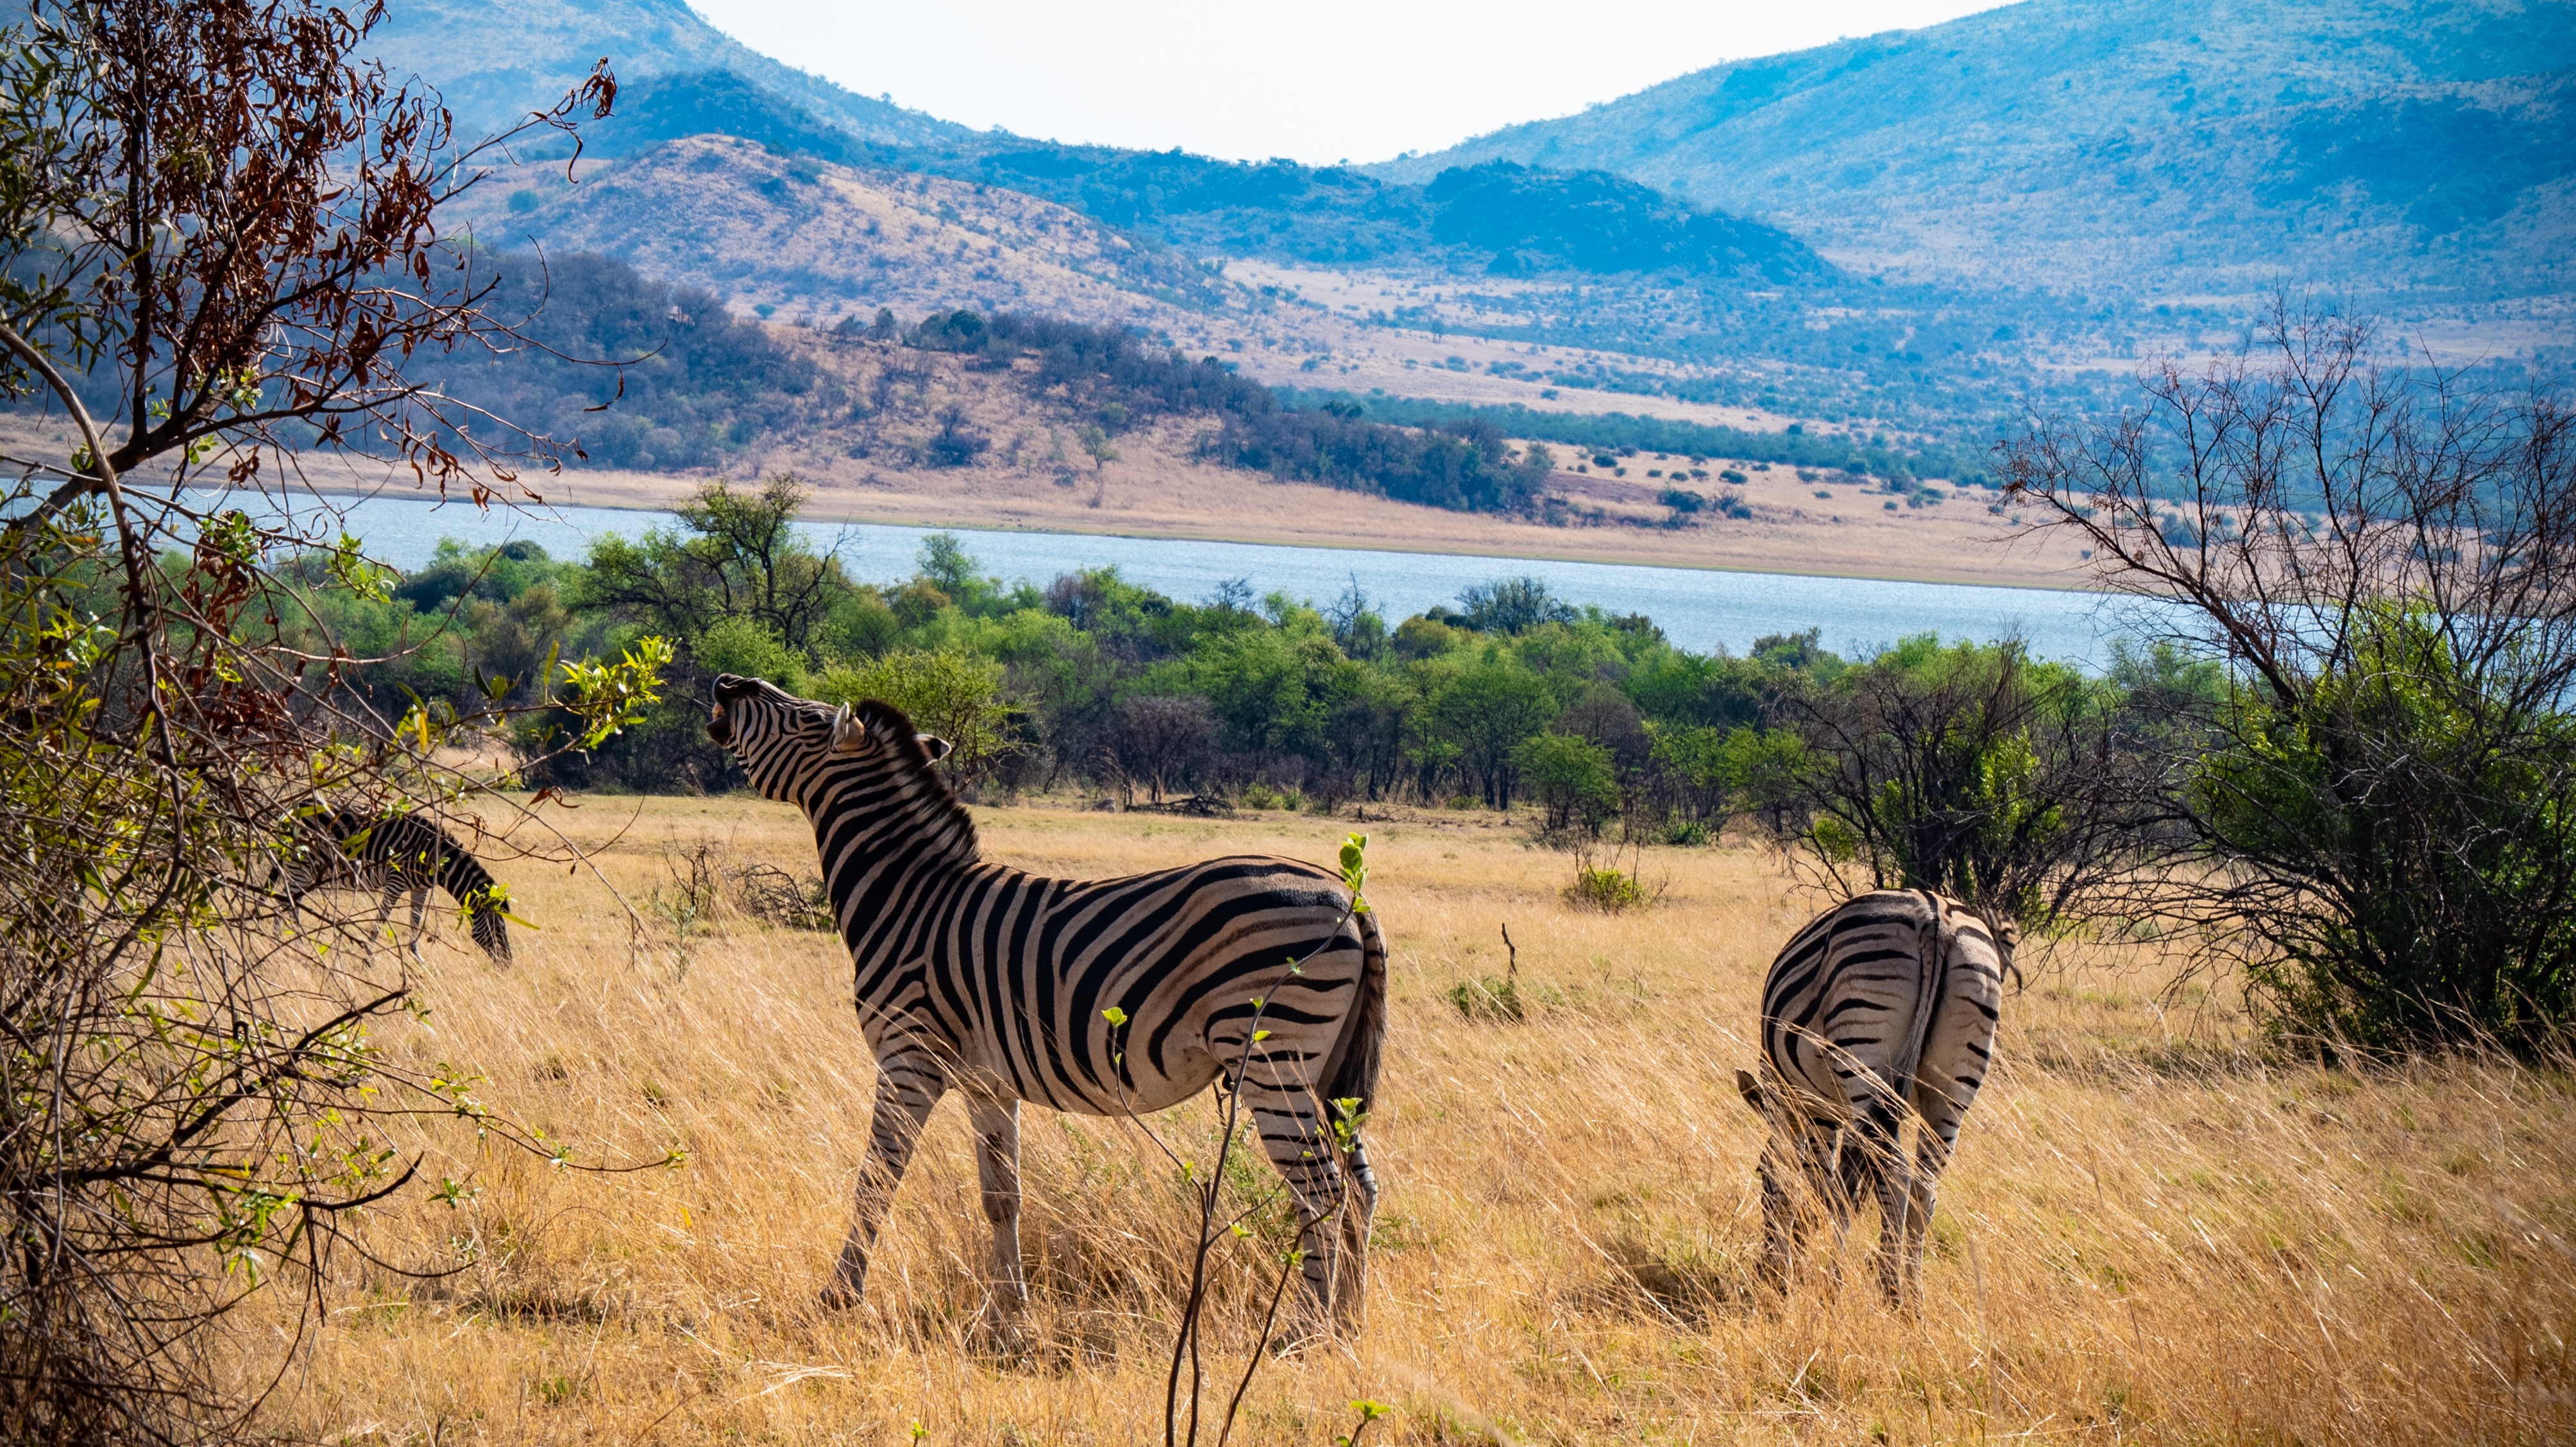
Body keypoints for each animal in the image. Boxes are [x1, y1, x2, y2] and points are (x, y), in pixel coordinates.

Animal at [275, 806, 514, 963]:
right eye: (498, 929)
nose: (508, 964)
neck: (434, 858)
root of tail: (291, 811)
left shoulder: (420, 889)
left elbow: (415, 921)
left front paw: (417, 959)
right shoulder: (395, 882)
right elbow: (382, 918)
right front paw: (369, 956)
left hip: (307, 870)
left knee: (291, 904)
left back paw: (293, 943)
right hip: (303, 865)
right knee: (284, 903)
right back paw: (287, 944)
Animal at [705, 673, 1387, 1344]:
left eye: (806, 719)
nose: (726, 683)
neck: (907, 896)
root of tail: (1348, 898)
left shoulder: (910, 1055)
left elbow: (876, 1179)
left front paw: (839, 1297)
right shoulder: (987, 1081)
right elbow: (1001, 1197)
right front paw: (1010, 1322)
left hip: (1274, 1057)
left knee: (1321, 1189)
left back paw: (1304, 1332)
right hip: (1327, 1073)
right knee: (1359, 1187)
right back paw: (1350, 1324)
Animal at [1733, 888, 2010, 1305]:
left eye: (1761, 1175)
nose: (1764, 1274)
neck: (1787, 1108)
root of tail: (1935, 917)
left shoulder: (1819, 1109)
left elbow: (1824, 1184)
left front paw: (1815, 1276)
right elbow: (1841, 1184)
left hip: (1863, 1054)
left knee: (1888, 1178)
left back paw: (1881, 1288)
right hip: (1953, 1086)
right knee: (1923, 1189)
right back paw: (1911, 1297)